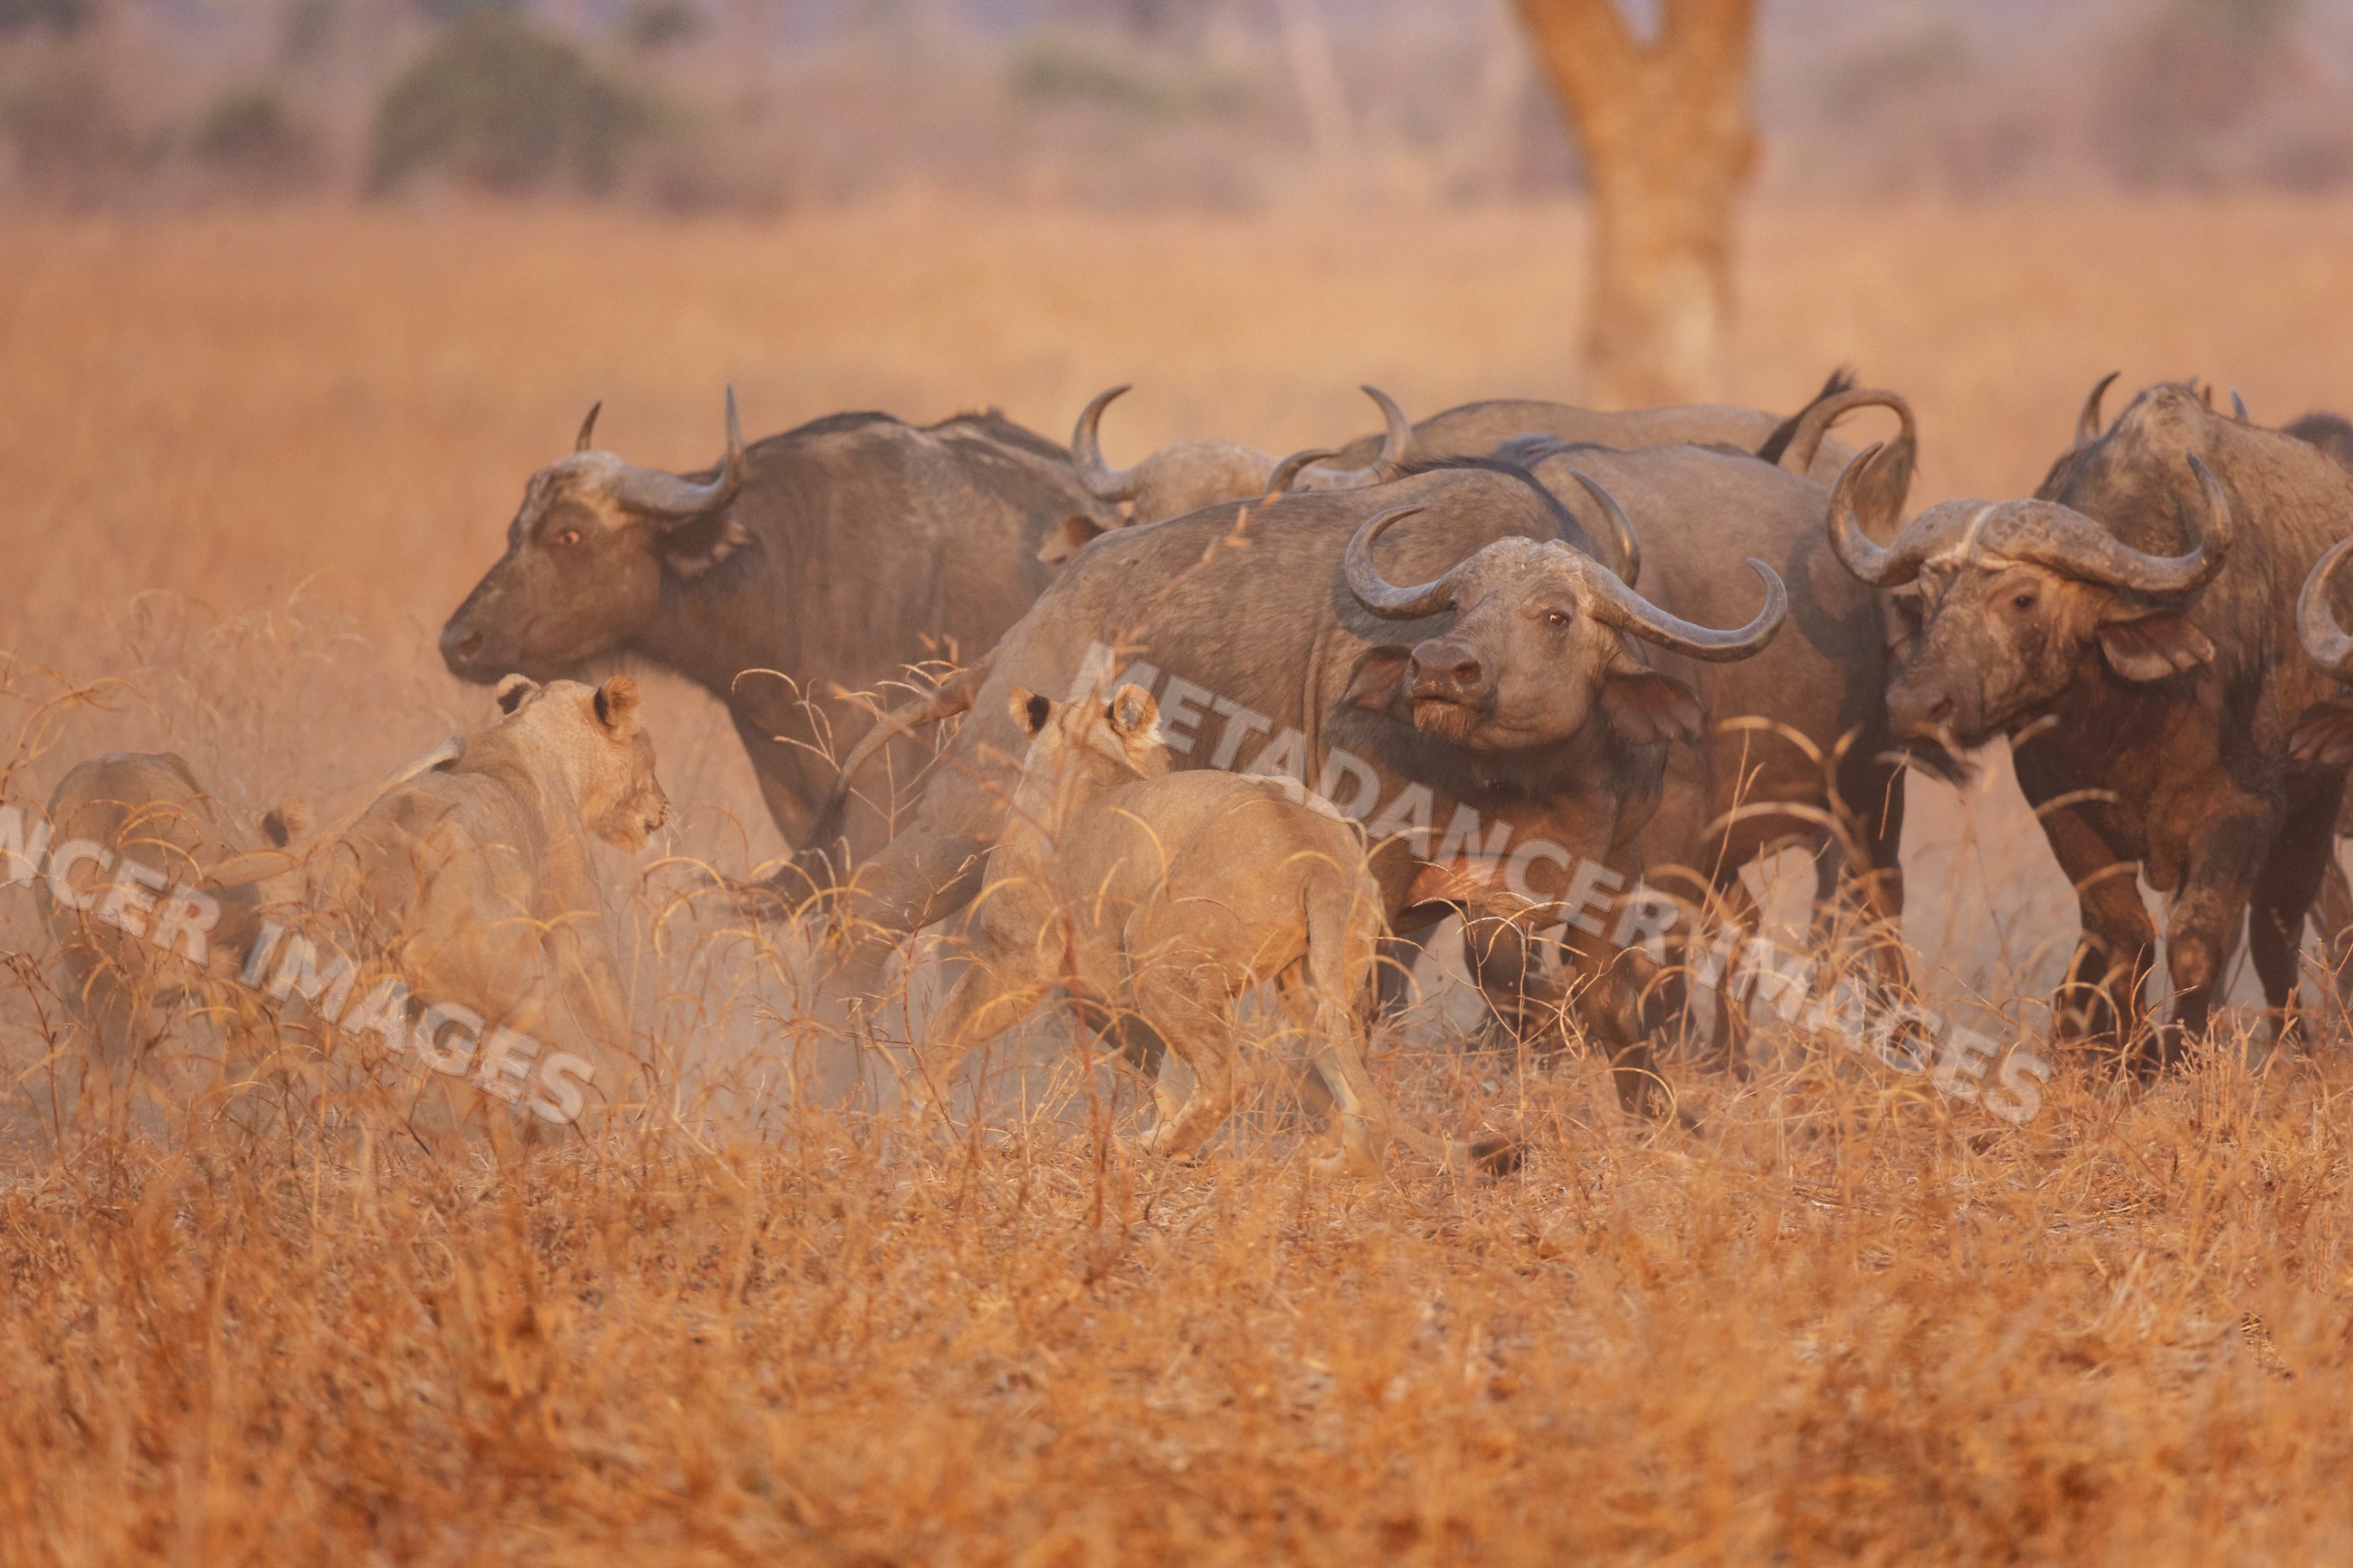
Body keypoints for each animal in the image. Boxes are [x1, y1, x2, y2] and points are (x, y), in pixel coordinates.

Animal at [908, 682, 1515, 1179]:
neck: (1084, 751)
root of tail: (1311, 841)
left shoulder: (1018, 958)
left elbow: (944, 1031)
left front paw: (926, 1129)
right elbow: (1172, 1073)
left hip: (1153, 943)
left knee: (1230, 1075)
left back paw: (1148, 1147)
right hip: (1313, 979)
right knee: (1345, 1080)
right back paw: (1324, 1166)